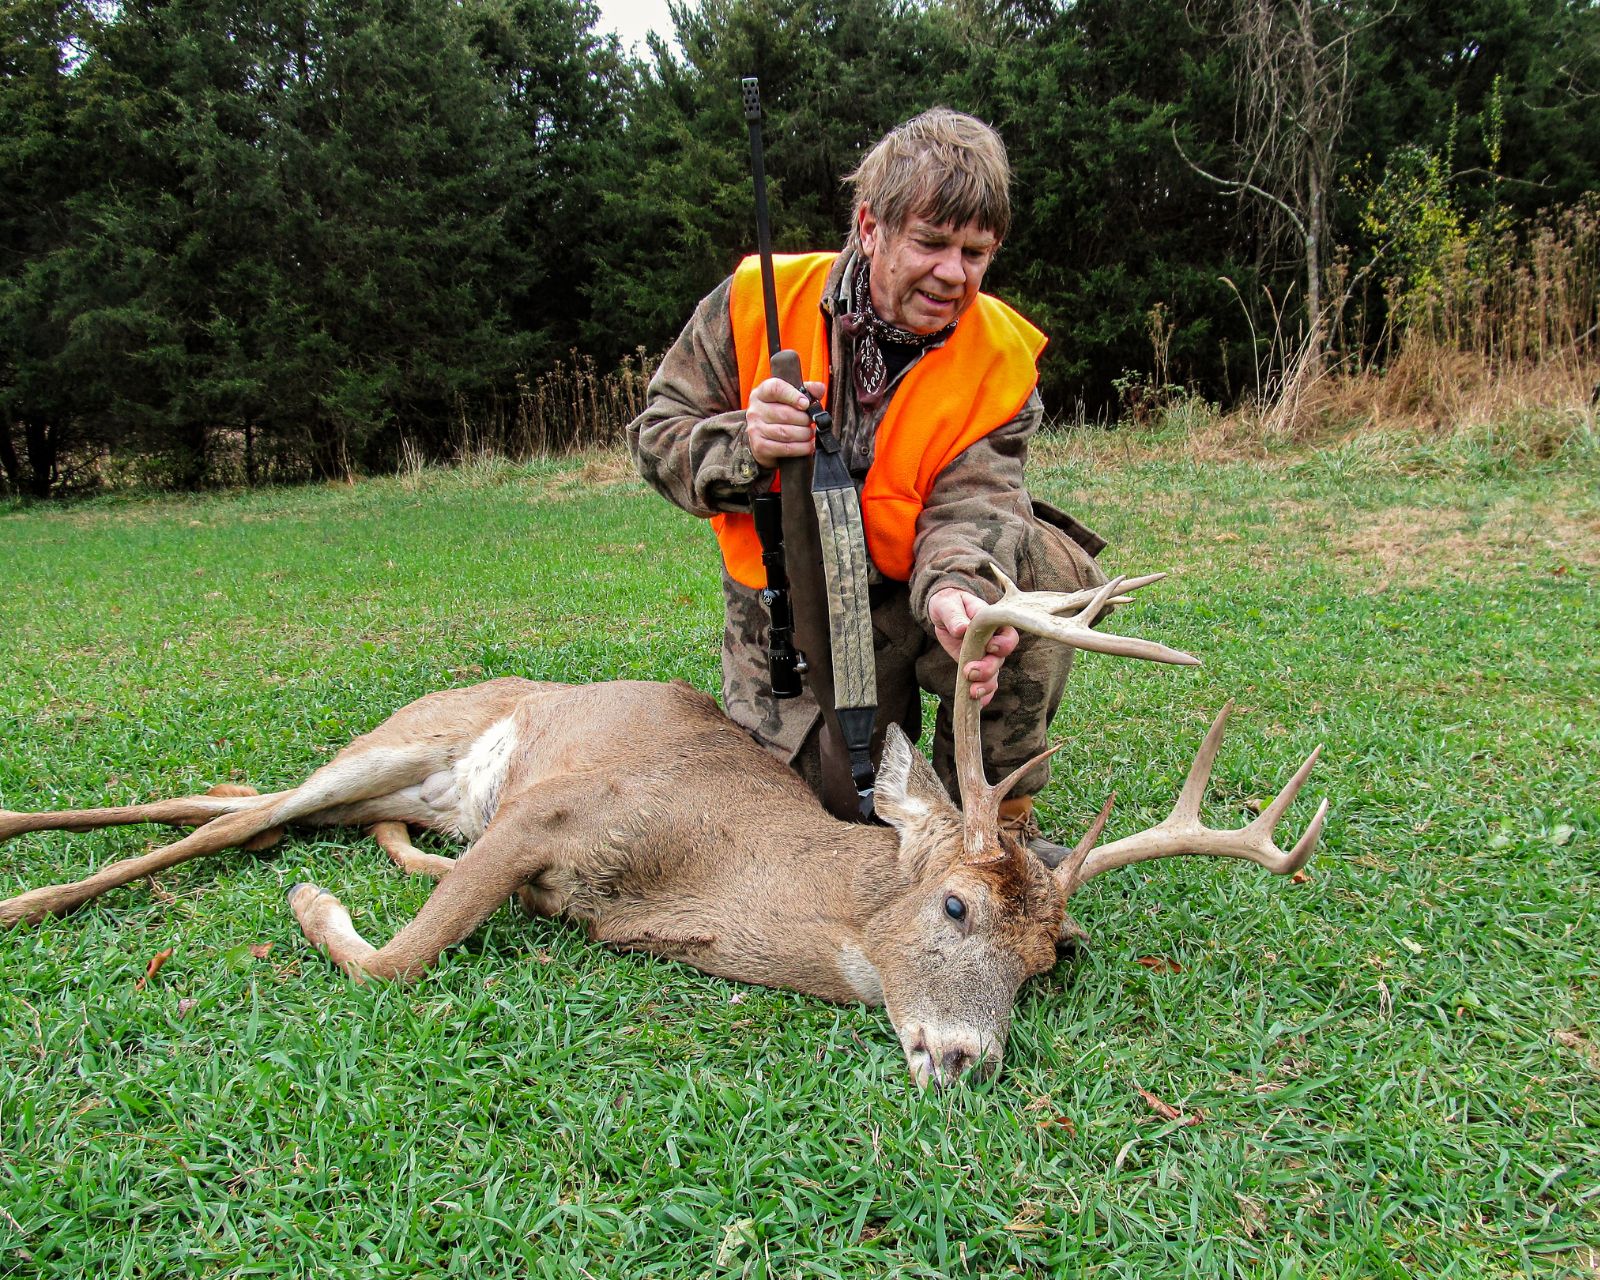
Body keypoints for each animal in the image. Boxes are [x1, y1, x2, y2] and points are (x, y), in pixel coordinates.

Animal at [0, 571, 1326, 1088]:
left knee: (243, 803)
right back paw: (27, 877)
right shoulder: (553, 810)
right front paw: (314, 909)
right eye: (953, 902)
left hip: (406, 783)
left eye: (1046, 962)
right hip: (409, 739)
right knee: (231, 817)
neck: (700, 872)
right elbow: (396, 960)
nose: (965, 1056)